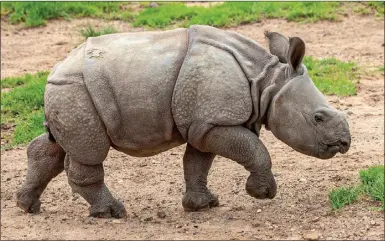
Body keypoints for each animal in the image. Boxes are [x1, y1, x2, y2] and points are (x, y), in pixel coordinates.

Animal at [16, 25, 350, 217]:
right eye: (318, 118)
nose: (345, 142)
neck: (266, 83)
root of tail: (54, 69)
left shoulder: (204, 124)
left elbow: (198, 163)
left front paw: (202, 205)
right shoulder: (215, 121)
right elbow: (256, 150)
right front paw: (262, 194)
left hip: (70, 93)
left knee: (58, 146)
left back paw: (27, 206)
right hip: (76, 91)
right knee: (89, 151)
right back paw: (112, 213)